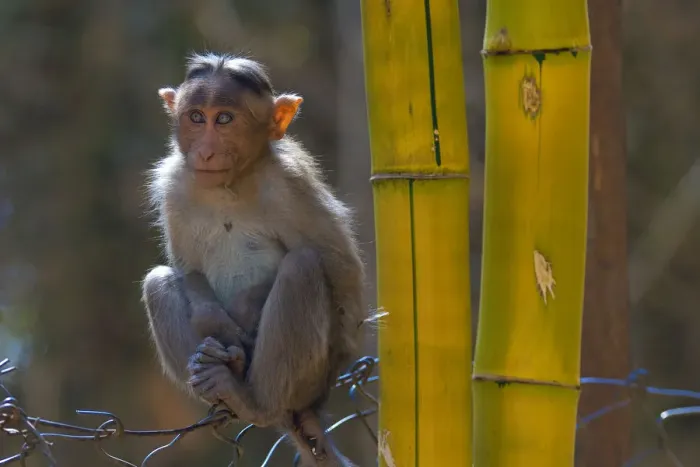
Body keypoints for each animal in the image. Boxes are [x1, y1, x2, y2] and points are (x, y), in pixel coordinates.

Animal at [141, 52, 366, 467]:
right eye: (196, 117)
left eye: (224, 119)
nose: (205, 151)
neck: (231, 184)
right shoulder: (174, 184)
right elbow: (186, 268)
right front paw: (214, 322)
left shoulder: (292, 185)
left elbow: (344, 274)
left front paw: (246, 310)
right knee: (158, 280)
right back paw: (217, 374)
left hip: (304, 379)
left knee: (302, 267)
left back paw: (254, 400)